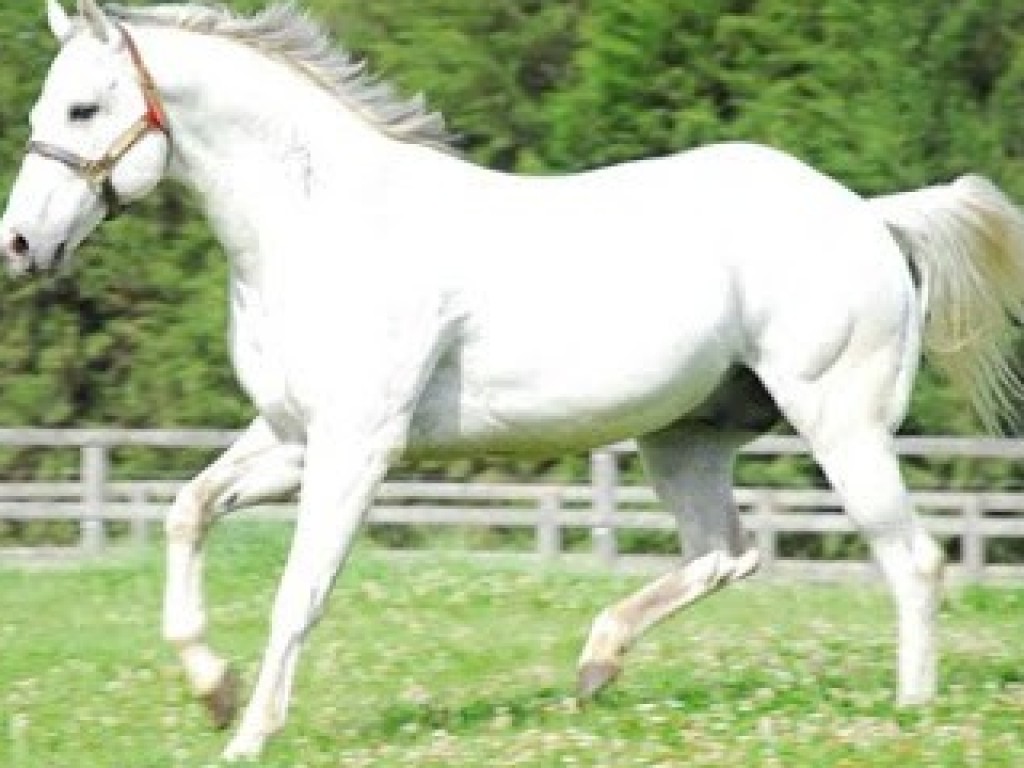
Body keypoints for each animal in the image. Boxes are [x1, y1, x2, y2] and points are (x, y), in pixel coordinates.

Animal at [2, 0, 1024, 757]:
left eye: (83, 111)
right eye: (43, 113)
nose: (20, 245)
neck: (321, 226)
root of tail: (868, 213)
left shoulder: (357, 446)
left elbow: (300, 589)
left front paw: (249, 734)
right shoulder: (292, 440)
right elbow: (187, 511)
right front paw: (214, 689)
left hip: (839, 422)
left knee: (912, 559)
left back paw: (909, 713)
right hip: (686, 436)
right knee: (725, 553)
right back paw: (596, 666)